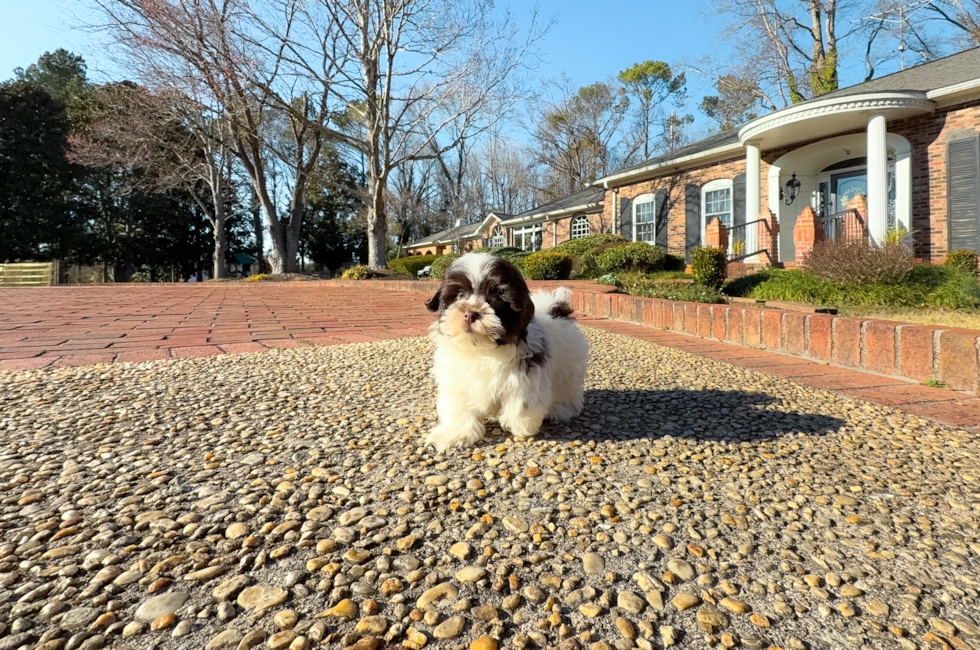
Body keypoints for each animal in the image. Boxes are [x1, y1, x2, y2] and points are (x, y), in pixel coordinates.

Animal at [424, 252, 588, 450]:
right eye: (460, 294)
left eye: (497, 299)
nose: (471, 313)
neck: (482, 349)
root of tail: (554, 308)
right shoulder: (456, 376)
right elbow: (458, 404)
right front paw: (457, 432)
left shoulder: (525, 372)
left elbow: (522, 402)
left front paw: (522, 425)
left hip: (568, 365)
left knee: (567, 389)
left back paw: (560, 409)